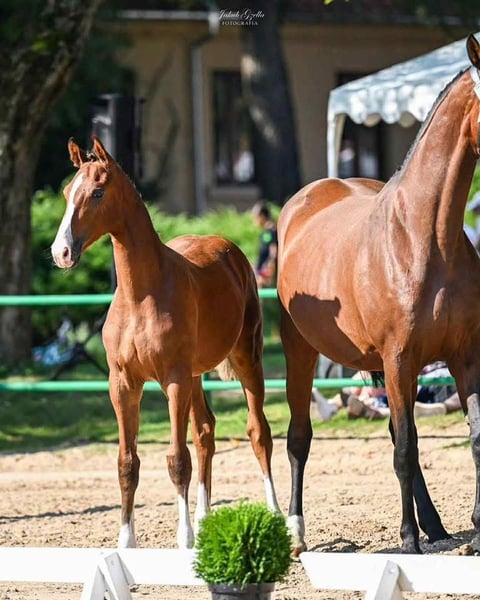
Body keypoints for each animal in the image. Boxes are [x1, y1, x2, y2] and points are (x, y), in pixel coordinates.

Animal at [51, 136, 279, 548]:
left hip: (245, 359)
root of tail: (229, 249)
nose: (61, 252)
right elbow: (127, 463)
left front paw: (184, 539)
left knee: (259, 433)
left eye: (97, 192)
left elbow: (177, 460)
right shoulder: (123, 383)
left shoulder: (173, 380)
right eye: (66, 192)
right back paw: (206, 522)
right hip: (196, 375)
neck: (140, 296)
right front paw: (127, 543)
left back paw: (280, 520)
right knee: (205, 431)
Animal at [277, 33, 480, 555]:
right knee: (299, 437)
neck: (426, 236)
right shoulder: (399, 359)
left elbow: (472, 438)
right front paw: (407, 540)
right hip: (301, 351)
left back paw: (436, 525)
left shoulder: (464, 356)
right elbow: (406, 449)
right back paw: (296, 529)